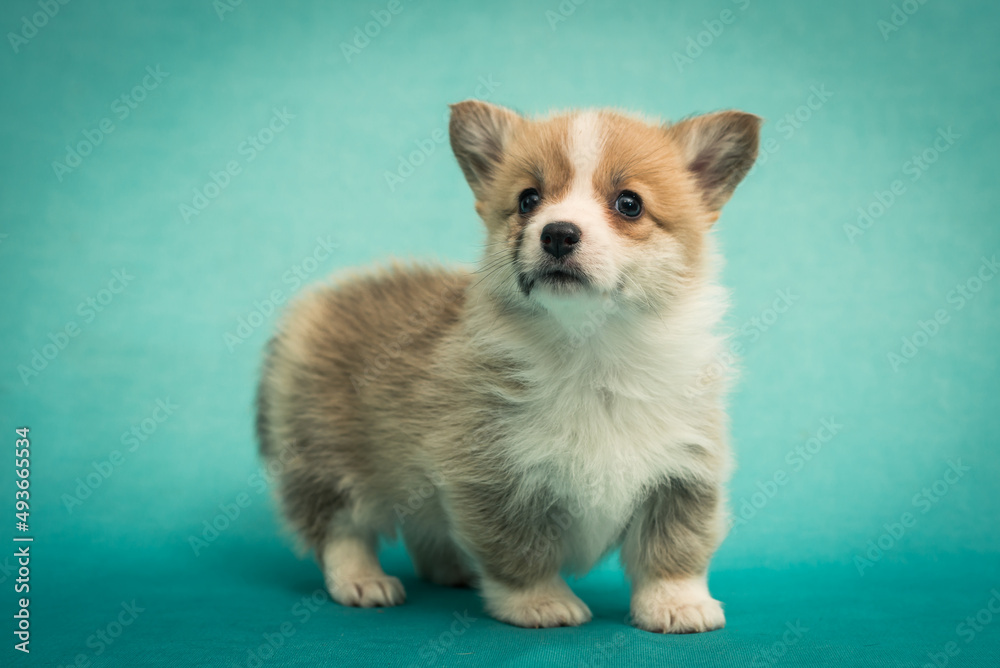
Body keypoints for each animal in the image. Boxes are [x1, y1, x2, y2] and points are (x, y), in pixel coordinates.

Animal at [256, 100, 756, 632]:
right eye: (528, 200)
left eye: (629, 204)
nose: (558, 233)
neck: (592, 348)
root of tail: (322, 299)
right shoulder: (495, 475)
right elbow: (520, 550)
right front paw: (540, 603)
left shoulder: (683, 471)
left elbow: (674, 547)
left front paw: (677, 604)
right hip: (328, 457)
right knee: (339, 528)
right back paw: (362, 580)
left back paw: (451, 570)